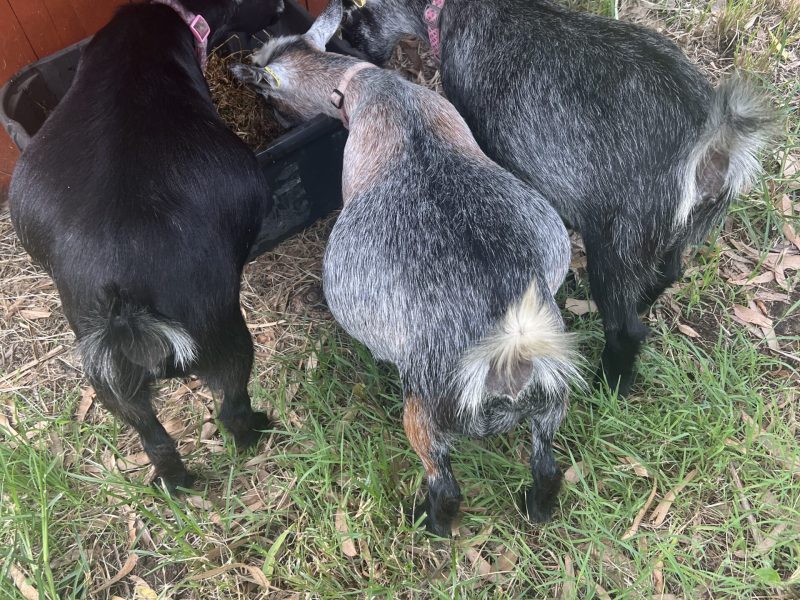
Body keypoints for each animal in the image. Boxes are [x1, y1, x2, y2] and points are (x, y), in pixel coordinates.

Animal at [8, 0, 284, 492]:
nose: (280, 7)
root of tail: (125, 305)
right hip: (225, 339)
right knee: (231, 408)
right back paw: (255, 433)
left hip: (111, 382)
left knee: (155, 439)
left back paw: (176, 484)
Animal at [231, 0, 581, 535]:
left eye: (269, 96)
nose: (275, 117)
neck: (376, 89)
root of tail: (508, 360)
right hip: (553, 394)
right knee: (546, 464)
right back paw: (537, 508)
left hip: (424, 410)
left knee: (446, 483)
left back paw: (429, 520)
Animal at [340, 0, 776, 394]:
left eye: (361, 11)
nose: (346, 34)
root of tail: (716, 145)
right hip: (672, 229)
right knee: (670, 271)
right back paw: (644, 300)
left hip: (616, 241)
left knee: (627, 326)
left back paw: (611, 384)